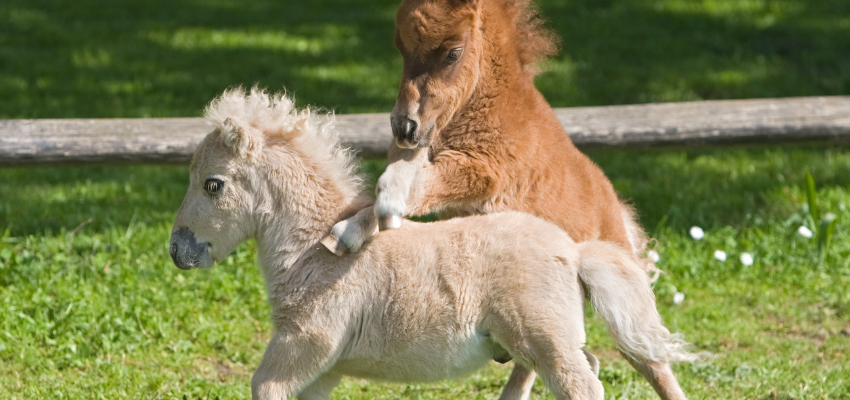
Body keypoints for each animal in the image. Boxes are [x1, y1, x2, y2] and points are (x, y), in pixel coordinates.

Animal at [169, 88, 692, 400]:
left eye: (213, 184)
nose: (179, 251)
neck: (310, 252)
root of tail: (575, 252)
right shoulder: (325, 369)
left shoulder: (304, 344)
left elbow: (264, 386)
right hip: (541, 344)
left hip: (546, 342)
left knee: (585, 383)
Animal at [322, 0, 684, 400]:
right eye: (400, 48)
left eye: (453, 52)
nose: (405, 127)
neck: (490, 107)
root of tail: (615, 207)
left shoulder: (481, 174)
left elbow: (413, 189)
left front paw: (347, 231)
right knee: (543, 359)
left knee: (647, 358)